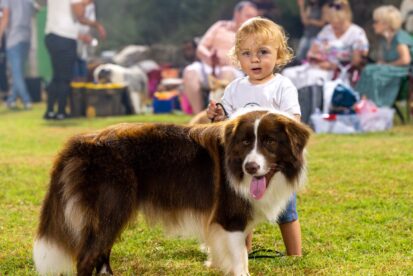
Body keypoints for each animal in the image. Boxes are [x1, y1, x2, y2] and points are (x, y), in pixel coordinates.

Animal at [33, 109, 308, 274]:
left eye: (270, 141)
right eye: (246, 142)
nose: (250, 167)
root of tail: (80, 142)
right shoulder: (230, 220)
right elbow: (240, 261)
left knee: (100, 252)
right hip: (111, 206)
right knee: (87, 256)